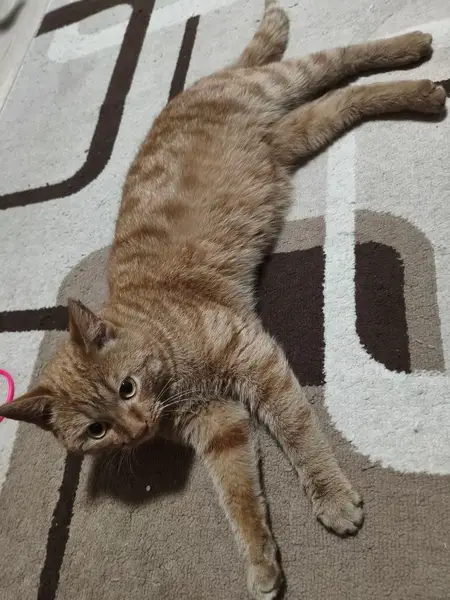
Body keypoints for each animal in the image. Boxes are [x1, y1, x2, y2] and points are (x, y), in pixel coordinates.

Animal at [1, 1, 446, 598]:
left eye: (127, 387)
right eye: (96, 430)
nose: (136, 430)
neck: (171, 370)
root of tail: (196, 87)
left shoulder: (257, 361)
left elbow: (299, 434)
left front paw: (330, 496)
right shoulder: (220, 426)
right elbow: (238, 497)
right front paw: (260, 560)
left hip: (282, 86)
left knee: (344, 60)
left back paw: (414, 57)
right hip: (290, 137)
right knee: (343, 100)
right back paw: (420, 86)